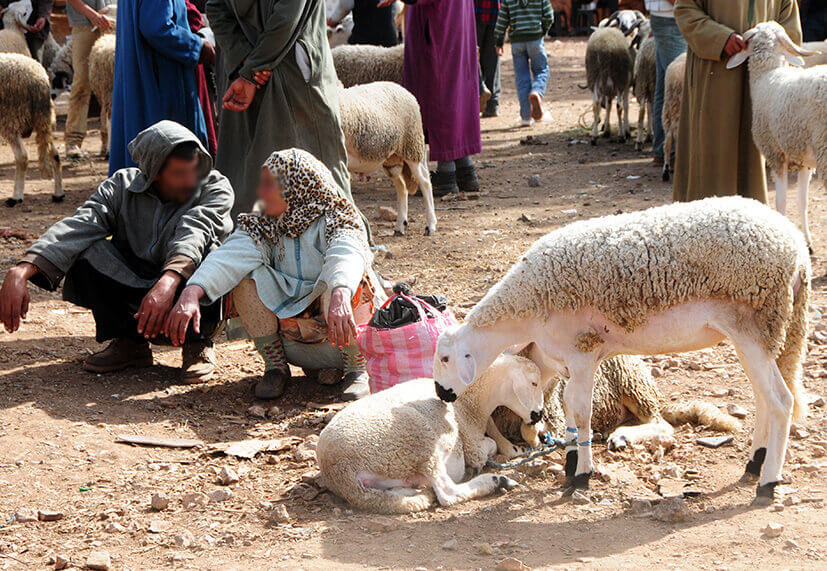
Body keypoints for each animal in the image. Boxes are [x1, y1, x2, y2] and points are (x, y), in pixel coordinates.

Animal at [1, 52, 64, 207]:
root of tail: (39, 80)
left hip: (11, 117)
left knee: (22, 156)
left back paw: (16, 197)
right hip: (43, 120)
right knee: (55, 154)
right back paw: (58, 194)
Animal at [338, 80, 440, 235]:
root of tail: (404, 90)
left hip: (411, 146)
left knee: (425, 182)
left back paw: (430, 225)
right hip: (392, 159)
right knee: (402, 187)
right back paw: (400, 225)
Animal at [728, 21, 824, 255]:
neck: (767, 76)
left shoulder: (775, 154)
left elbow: (781, 201)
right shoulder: (802, 158)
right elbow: (802, 201)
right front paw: (807, 242)